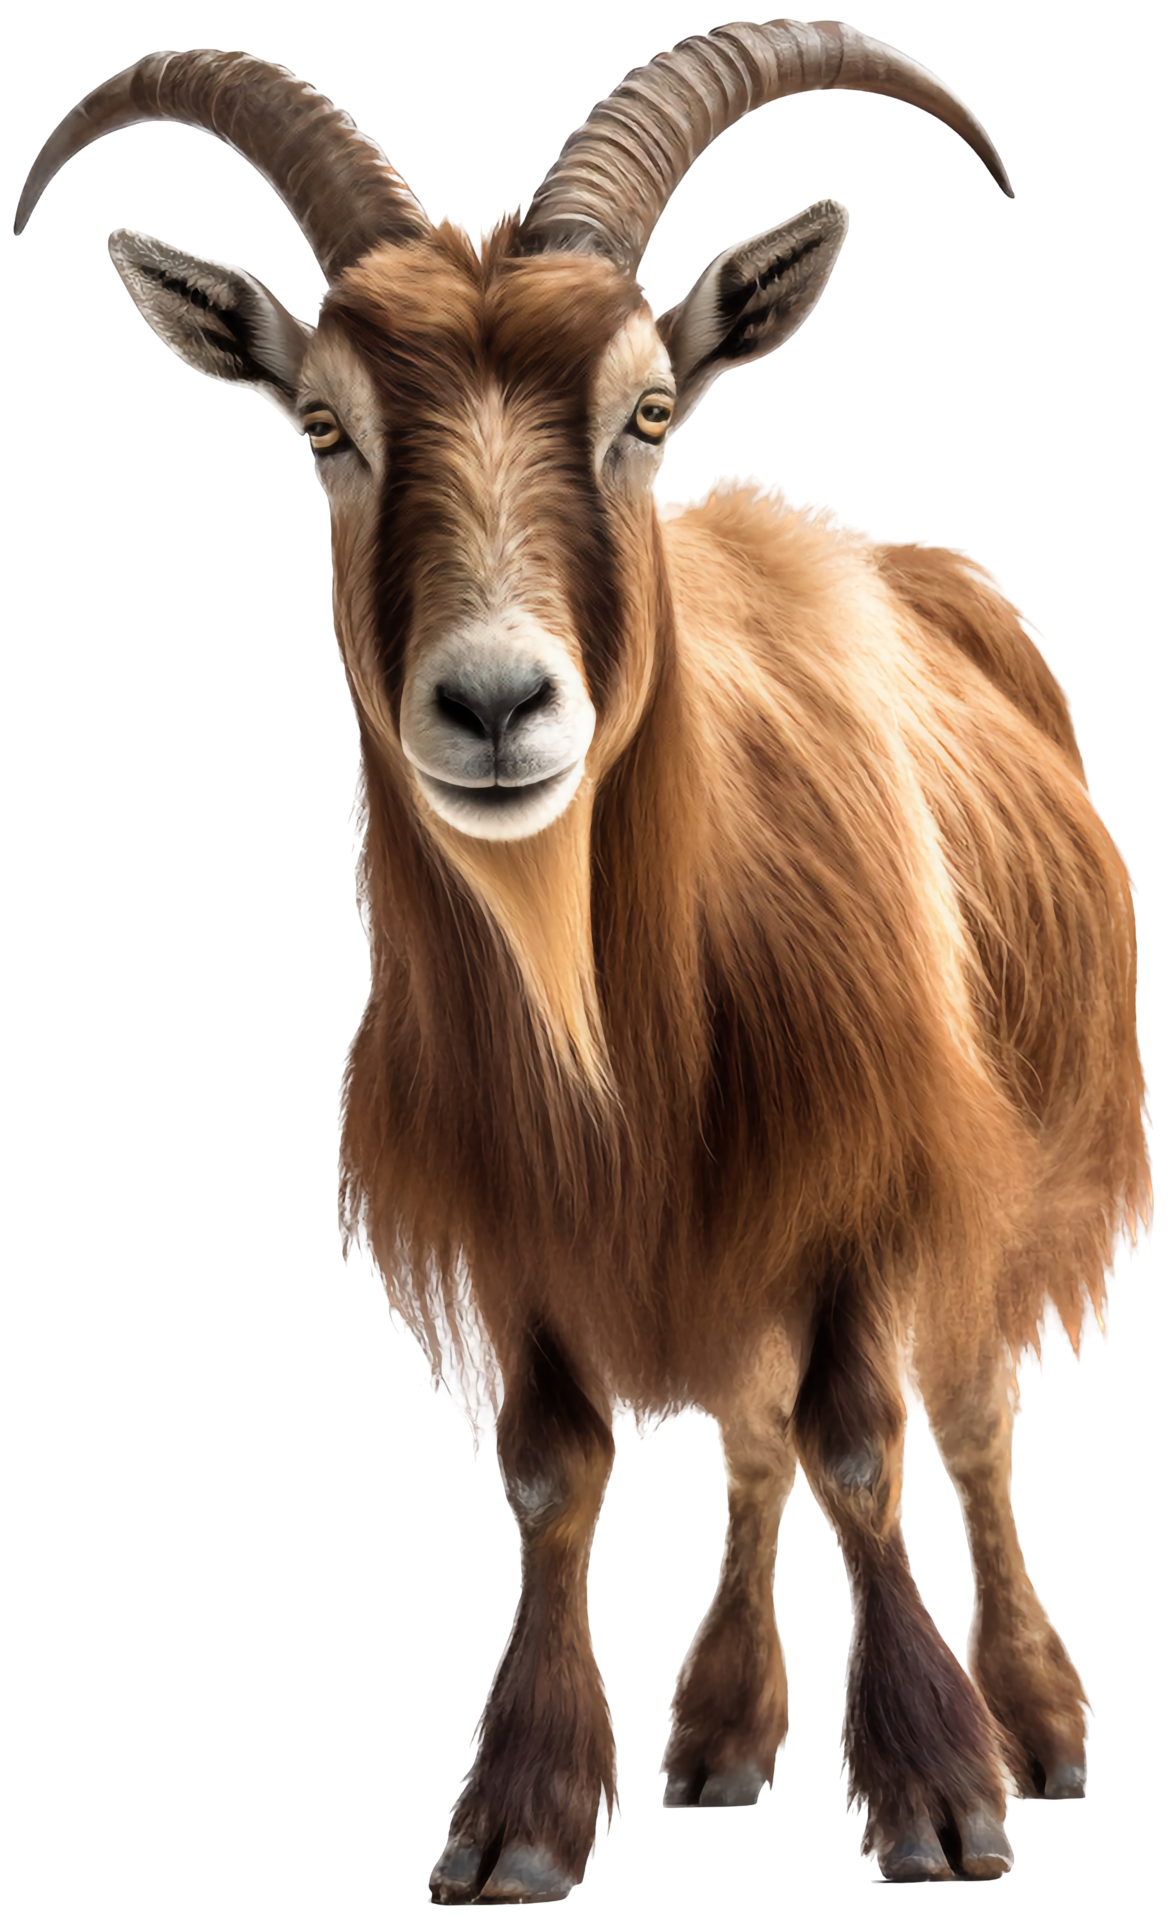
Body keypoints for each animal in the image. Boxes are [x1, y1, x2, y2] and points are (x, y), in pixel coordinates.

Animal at [16, 17, 1152, 1896]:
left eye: (643, 411)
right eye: (323, 428)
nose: (493, 703)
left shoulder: (875, 1164)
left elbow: (867, 1437)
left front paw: (938, 1788)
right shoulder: (519, 1215)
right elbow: (558, 1475)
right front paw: (527, 1812)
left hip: (1025, 1154)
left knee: (964, 1407)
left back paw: (1037, 1717)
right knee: (753, 1435)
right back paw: (720, 1730)